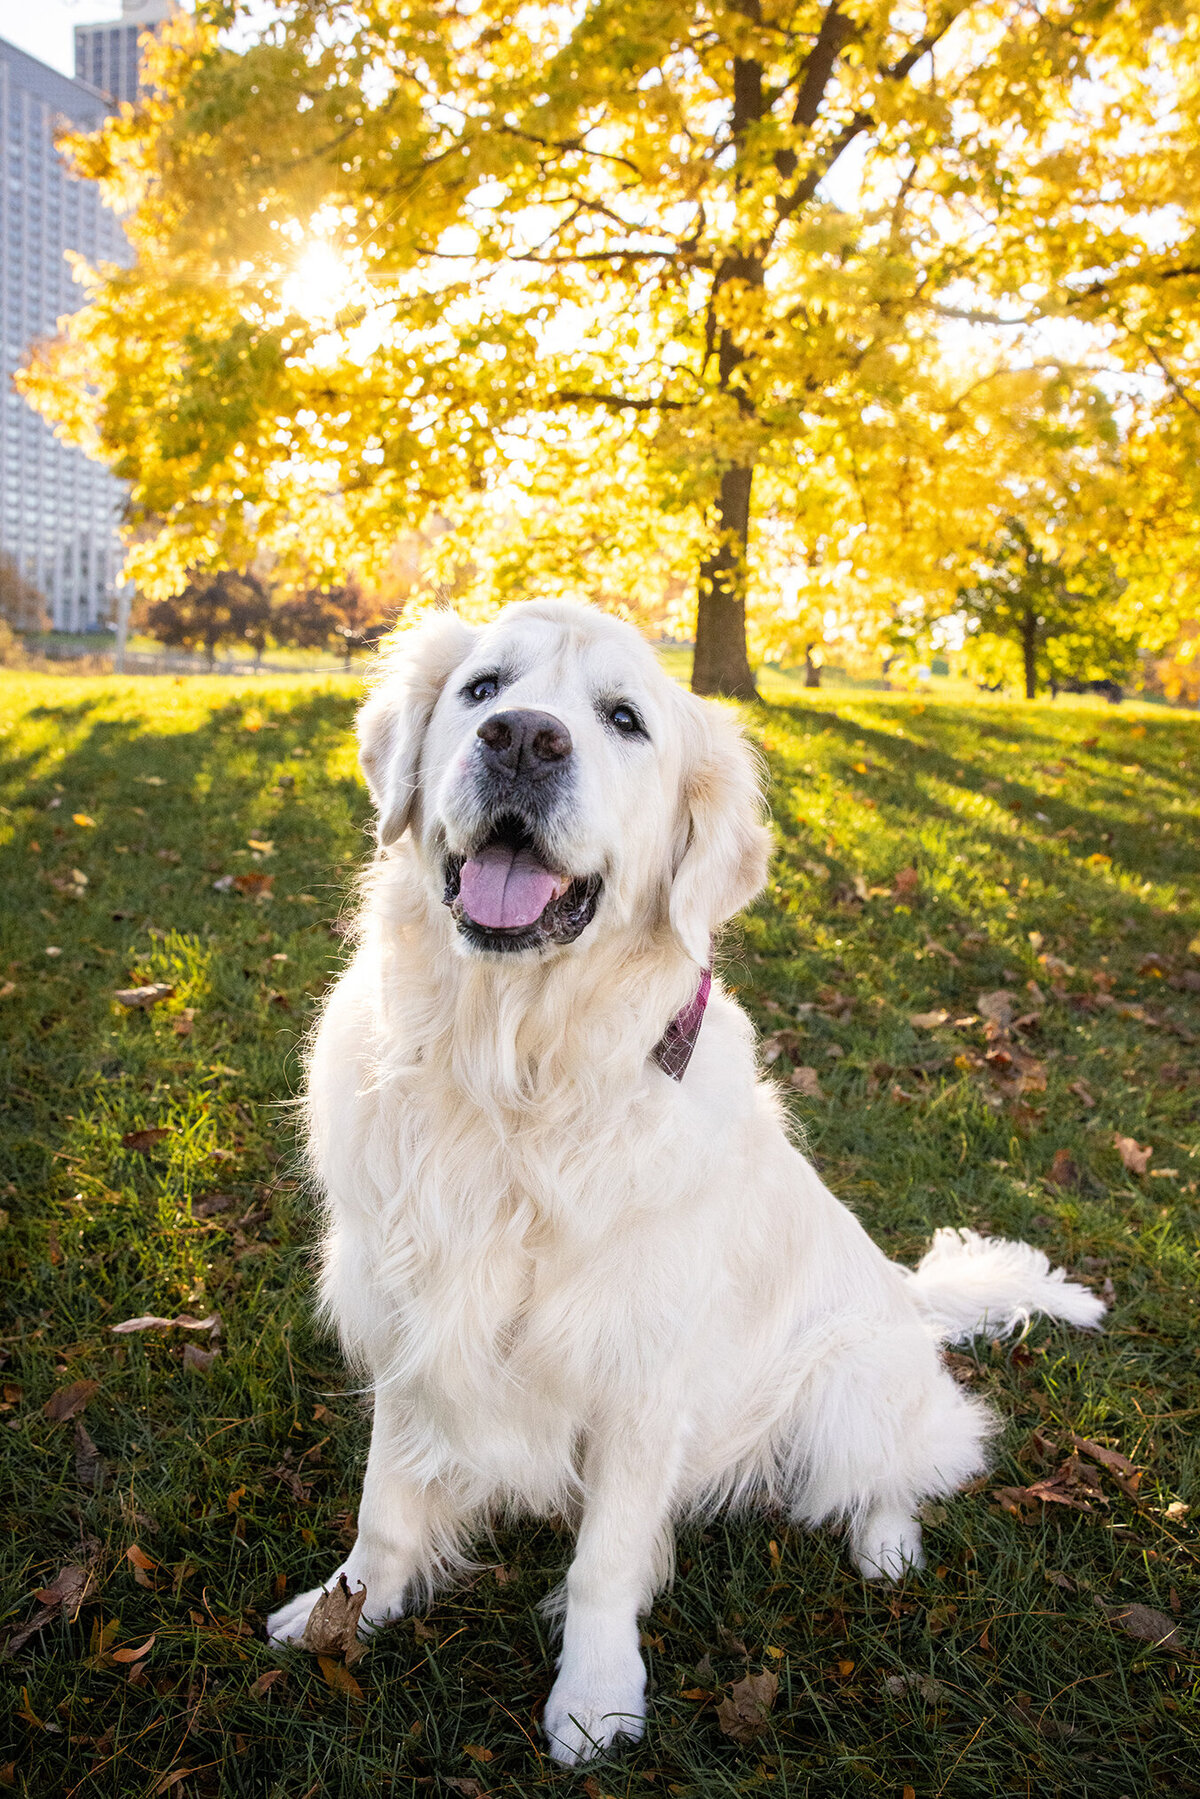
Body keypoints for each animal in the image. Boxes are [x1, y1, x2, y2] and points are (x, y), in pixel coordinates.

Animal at [269, 597, 1108, 1763]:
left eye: (624, 718)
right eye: (483, 688)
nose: (521, 740)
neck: (514, 1077)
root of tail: (906, 1296)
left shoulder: (640, 1371)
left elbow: (607, 1559)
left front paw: (594, 1696)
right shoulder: (411, 1322)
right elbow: (385, 1501)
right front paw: (348, 1606)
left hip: (849, 1381)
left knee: (916, 1460)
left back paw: (887, 1544)